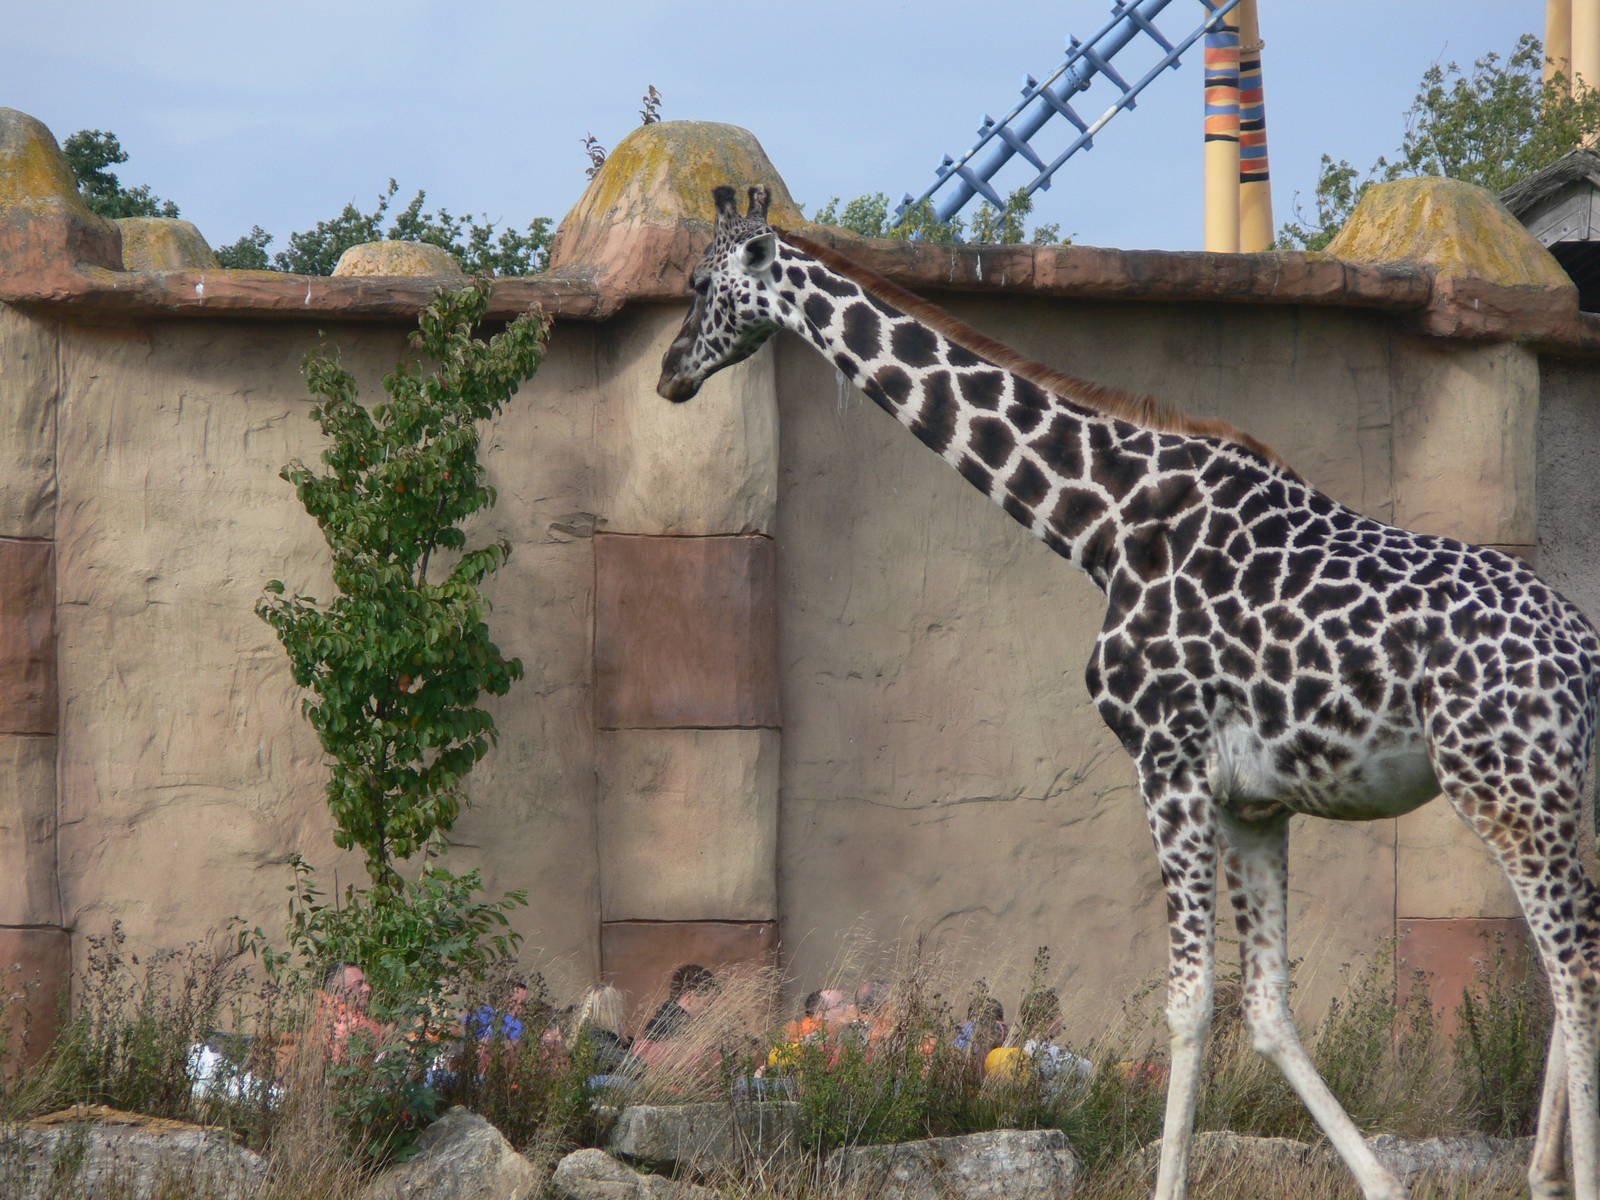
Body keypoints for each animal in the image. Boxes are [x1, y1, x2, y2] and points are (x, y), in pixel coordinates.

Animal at [657, 185, 1600, 1200]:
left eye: (699, 283)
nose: (669, 373)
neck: (1103, 522)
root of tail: (1585, 655)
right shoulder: (1254, 803)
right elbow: (1266, 1008)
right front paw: (1383, 1183)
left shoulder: (1165, 759)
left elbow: (1189, 1002)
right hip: (1549, 794)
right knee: (1563, 963)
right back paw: (1542, 1175)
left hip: (1504, 789)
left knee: (1576, 965)